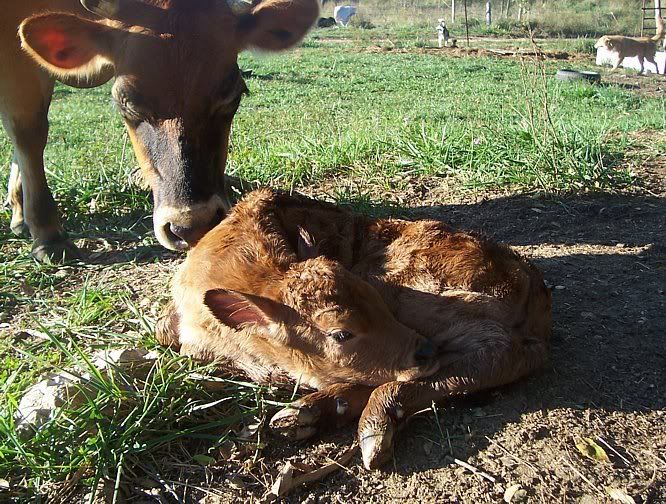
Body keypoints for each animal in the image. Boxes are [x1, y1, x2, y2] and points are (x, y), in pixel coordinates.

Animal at [157, 188, 552, 470]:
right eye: (341, 333)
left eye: (375, 303)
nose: (424, 350)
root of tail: (532, 285)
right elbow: (163, 328)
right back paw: (311, 414)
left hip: (417, 292)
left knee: (501, 352)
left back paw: (368, 421)